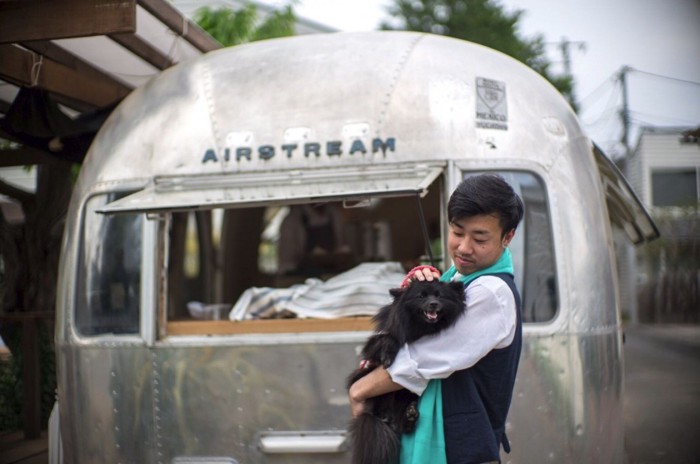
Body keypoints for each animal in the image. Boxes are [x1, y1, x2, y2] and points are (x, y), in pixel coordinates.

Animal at [348, 280, 468, 464]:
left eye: (440, 296)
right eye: (421, 296)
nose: (433, 303)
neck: (420, 329)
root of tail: (383, 417)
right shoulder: (374, 346)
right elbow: (388, 338)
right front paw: (387, 355)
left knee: (402, 426)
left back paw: (409, 416)